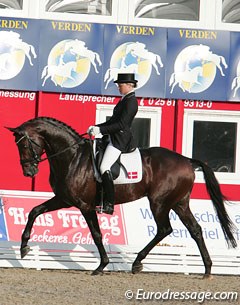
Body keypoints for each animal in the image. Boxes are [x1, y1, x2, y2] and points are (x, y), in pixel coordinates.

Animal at [6, 116, 237, 278]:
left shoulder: (85, 205)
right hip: (179, 203)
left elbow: (96, 234)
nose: (28, 172)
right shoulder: (64, 199)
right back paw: (207, 270)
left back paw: (137, 263)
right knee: (195, 230)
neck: (72, 157)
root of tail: (187, 161)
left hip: (159, 203)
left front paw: (101, 265)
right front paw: (24, 247)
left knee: (164, 229)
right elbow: (34, 211)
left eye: (24, 144)